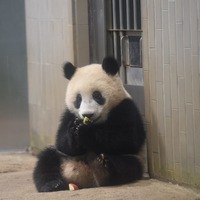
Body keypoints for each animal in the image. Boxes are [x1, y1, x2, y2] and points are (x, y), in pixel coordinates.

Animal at [32, 56, 145, 192]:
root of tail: (87, 178)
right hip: (63, 158)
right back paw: (52, 184)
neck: (96, 122)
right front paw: (74, 130)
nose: (87, 114)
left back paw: (105, 167)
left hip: (133, 160)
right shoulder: (69, 114)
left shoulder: (125, 107)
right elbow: (62, 142)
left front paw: (85, 132)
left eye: (97, 95)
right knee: (46, 160)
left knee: (127, 165)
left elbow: (127, 139)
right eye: (78, 99)